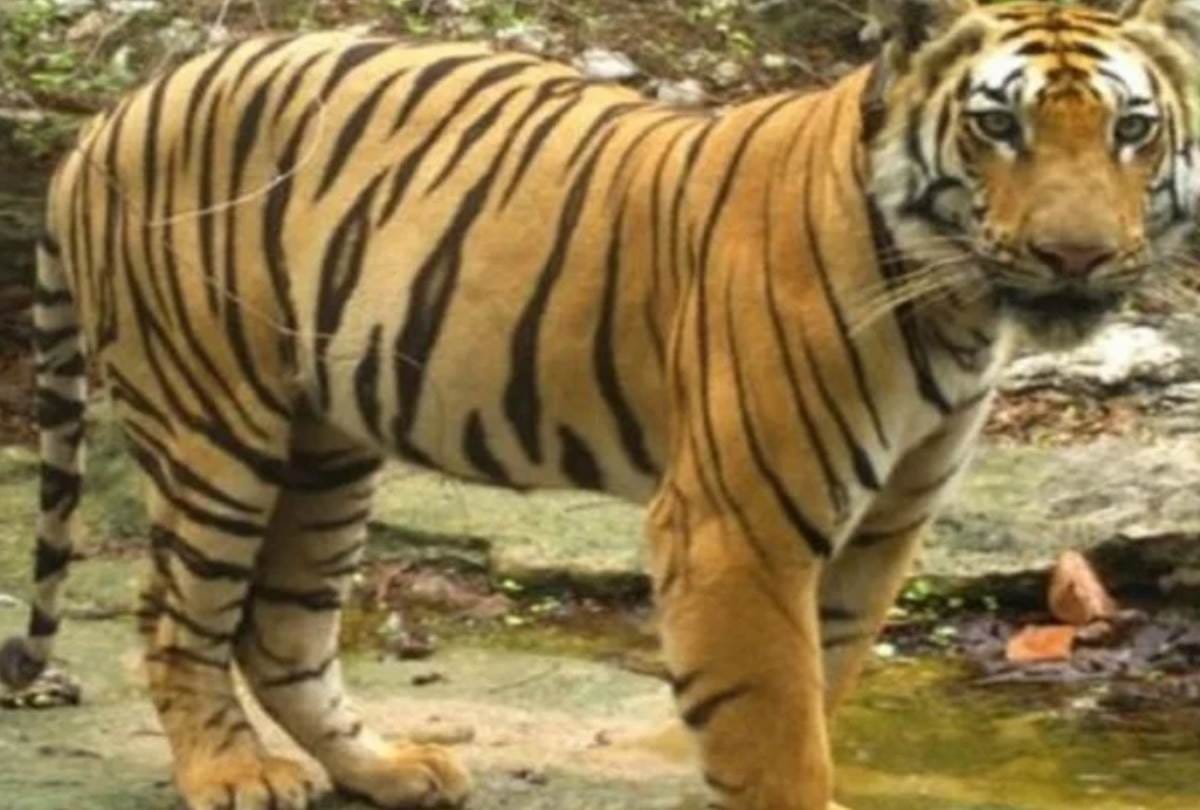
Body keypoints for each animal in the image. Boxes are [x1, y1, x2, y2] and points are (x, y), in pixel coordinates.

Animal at [1, 0, 1198, 808]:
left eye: (1131, 131)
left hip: (326, 445)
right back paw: (232, 772)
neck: (953, 304)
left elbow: (824, 679)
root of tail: (109, 118)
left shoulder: (884, 528)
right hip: (217, 433)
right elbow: (773, 727)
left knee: (281, 632)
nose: (1078, 256)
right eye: (1000, 129)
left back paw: (387, 768)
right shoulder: (736, 529)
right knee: (177, 619)